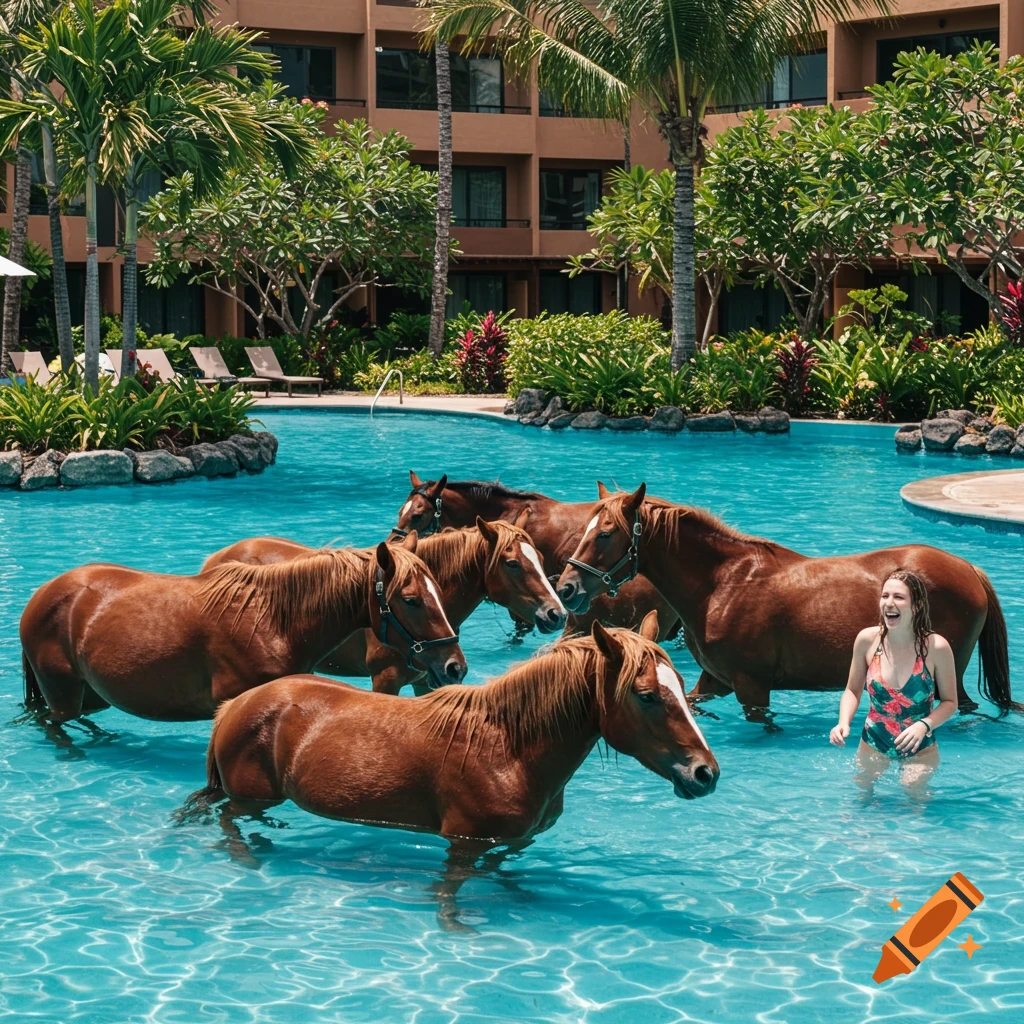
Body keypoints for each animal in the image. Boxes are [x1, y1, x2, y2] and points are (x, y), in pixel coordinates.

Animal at [20, 535, 466, 723]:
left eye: (438, 590)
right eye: (411, 599)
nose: (455, 667)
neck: (271, 621)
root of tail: (43, 594)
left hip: (91, 693)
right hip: (61, 693)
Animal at [183, 612, 719, 927]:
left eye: (680, 685)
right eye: (646, 696)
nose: (705, 774)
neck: (507, 748)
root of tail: (235, 706)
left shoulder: (505, 839)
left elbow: (502, 866)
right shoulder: (463, 842)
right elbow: (451, 896)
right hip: (249, 793)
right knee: (227, 817)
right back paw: (249, 861)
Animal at [200, 515, 568, 694]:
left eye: (539, 559)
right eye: (512, 563)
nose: (557, 614)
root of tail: (216, 559)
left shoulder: (427, 681)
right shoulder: (385, 681)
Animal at [555, 484, 1019, 720]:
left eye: (606, 533)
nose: (567, 589)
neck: (722, 583)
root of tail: (969, 569)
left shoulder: (752, 687)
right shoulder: (714, 681)